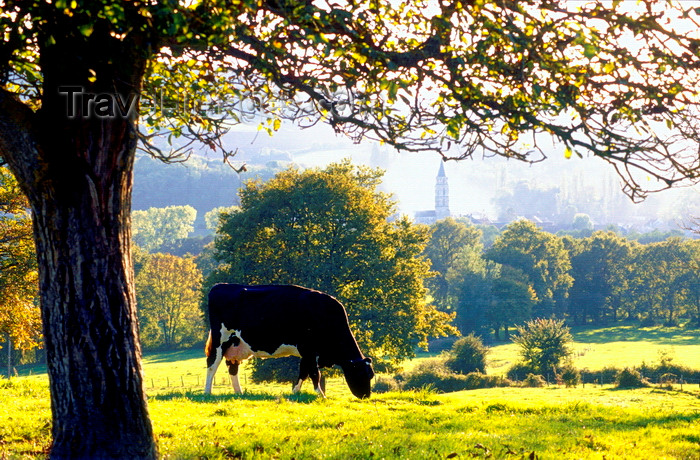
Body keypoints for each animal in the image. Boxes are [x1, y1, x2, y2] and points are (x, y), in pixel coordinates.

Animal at [204, 282, 374, 398]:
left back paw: (239, 393)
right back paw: (207, 392)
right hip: (221, 339)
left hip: (236, 344)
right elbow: (314, 374)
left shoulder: (307, 354)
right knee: (212, 364)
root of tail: (220, 286)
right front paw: (321, 395)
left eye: (371, 375)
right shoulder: (308, 350)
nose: (365, 396)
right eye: (360, 374)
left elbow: (303, 373)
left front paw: (295, 393)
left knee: (232, 367)